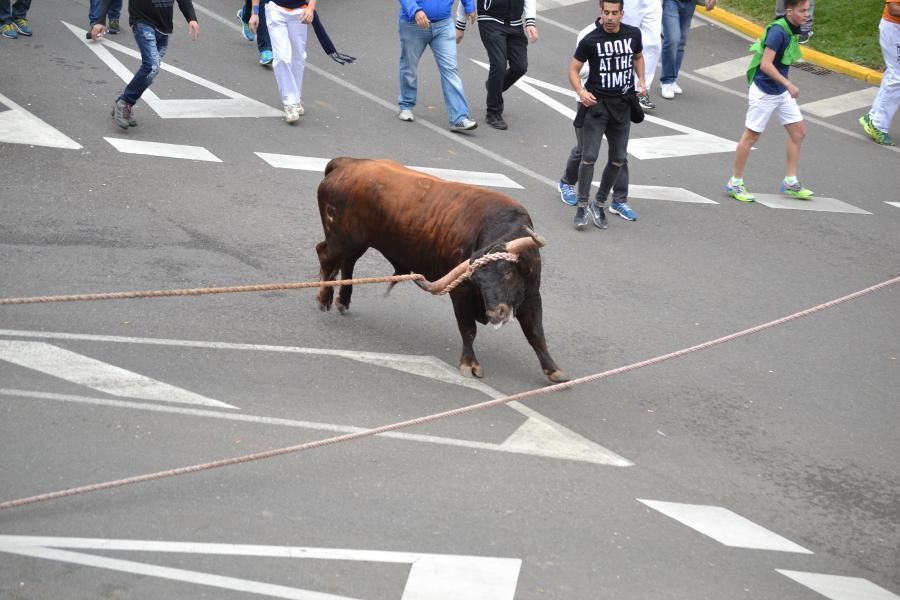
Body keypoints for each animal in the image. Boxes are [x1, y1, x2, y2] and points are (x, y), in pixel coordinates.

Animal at [316, 157, 568, 382]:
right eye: (477, 281)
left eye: (508, 272)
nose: (496, 313)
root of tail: (348, 163)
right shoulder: (461, 293)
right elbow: (468, 329)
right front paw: (470, 364)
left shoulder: (532, 294)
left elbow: (535, 333)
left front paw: (554, 370)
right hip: (341, 239)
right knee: (326, 255)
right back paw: (324, 298)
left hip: (355, 242)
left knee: (347, 263)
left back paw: (342, 301)